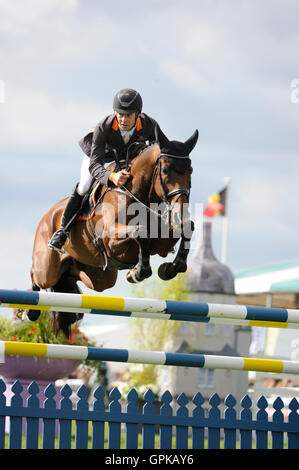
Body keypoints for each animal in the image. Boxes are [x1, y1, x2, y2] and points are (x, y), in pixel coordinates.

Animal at [24, 130, 199, 336]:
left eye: (190, 171)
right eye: (165, 170)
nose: (180, 214)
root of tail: (47, 215)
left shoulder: (162, 243)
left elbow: (187, 229)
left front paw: (170, 268)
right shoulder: (110, 240)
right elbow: (140, 232)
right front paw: (138, 271)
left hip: (100, 278)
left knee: (72, 275)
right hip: (46, 268)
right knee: (37, 276)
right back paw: (29, 312)